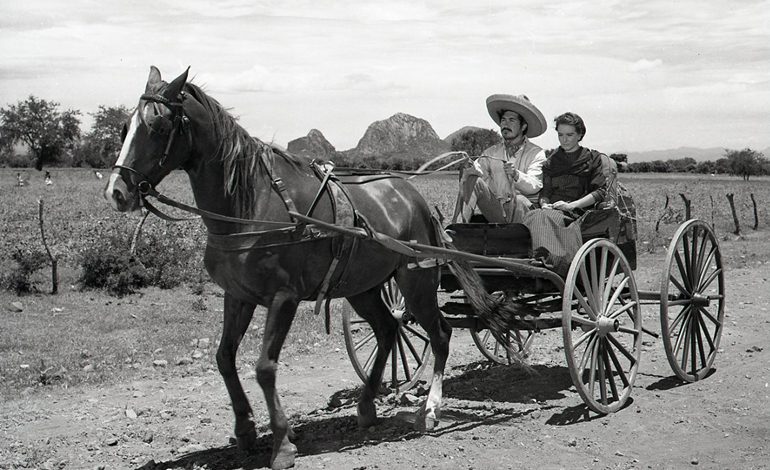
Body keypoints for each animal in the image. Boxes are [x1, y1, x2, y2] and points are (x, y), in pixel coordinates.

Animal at [102, 66, 450, 470]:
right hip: (362, 286)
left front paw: (282, 442)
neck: (249, 204)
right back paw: (366, 406)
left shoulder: (284, 298)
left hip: (416, 280)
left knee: (439, 335)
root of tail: (411, 194)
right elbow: (224, 358)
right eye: (125, 127)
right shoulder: (237, 296)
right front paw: (245, 430)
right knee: (387, 329)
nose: (117, 192)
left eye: (158, 126)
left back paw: (430, 409)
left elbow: (265, 368)